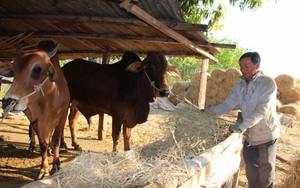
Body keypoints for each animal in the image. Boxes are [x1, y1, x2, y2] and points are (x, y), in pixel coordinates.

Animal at [1, 43, 70, 179]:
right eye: (14, 70)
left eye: (37, 69)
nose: (7, 102)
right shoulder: (35, 119)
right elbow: (43, 144)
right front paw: (44, 170)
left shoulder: (63, 115)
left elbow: (56, 141)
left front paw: (56, 166)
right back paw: (32, 146)